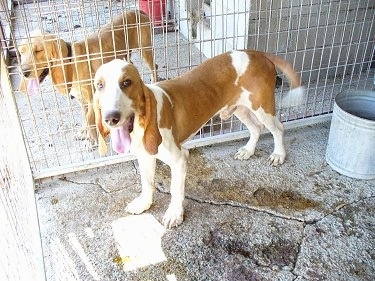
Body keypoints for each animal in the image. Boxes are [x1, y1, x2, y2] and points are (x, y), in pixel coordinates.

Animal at [18, 9, 157, 145]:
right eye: (21, 52)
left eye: (38, 50)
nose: (23, 72)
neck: (71, 62)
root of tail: (137, 11)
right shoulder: (81, 100)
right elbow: (85, 118)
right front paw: (84, 133)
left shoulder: (91, 99)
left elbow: (90, 120)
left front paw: (91, 139)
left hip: (145, 50)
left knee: (154, 67)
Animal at [92, 49, 304, 228]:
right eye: (99, 85)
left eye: (127, 82)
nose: (111, 117)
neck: (139, 125)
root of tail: (258, 53)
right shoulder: (145, 157)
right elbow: (147, 183)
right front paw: (144, 203)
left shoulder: (179, 159)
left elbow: (175, 189)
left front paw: (174, 214)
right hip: (241, 109)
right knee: (256, 128)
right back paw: (248, 151)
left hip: (262, 107)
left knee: (278, 128)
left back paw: (278, 154)